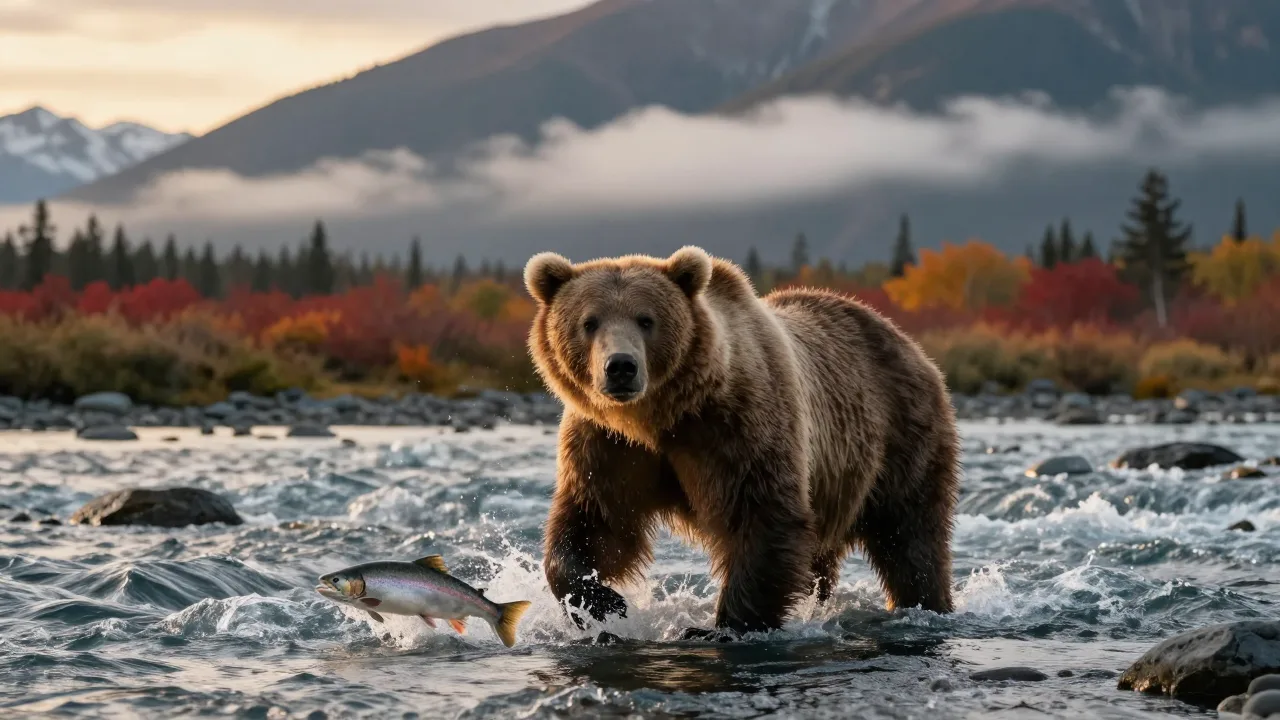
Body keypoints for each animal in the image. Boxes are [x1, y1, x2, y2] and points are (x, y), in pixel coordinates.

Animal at [524, 245, 960, 636]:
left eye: (646, 319)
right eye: (589, 321)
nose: (621, 367)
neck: (658, 418)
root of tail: (909, 342)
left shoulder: (737, 426)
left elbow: (763, 516)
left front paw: (723, 627)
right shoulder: (609, 446)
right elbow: (595, 522)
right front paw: (602, 601)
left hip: (901, 434)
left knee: (910, 537)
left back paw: (925, 604)